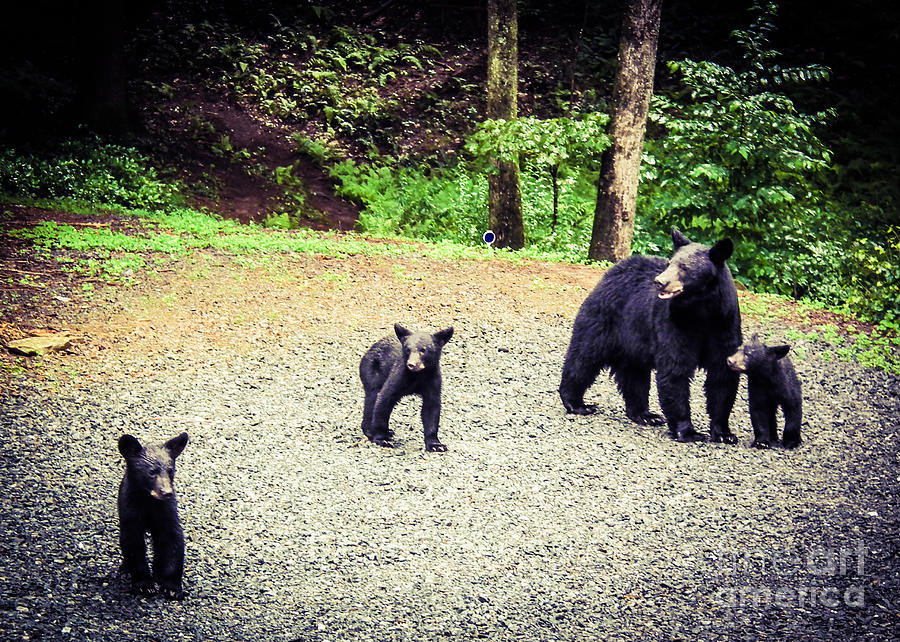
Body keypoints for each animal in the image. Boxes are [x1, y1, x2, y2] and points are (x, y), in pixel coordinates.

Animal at [117, 432, 188, 600]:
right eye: (151, 472)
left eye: (171, 471)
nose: (167, 492)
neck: (149, 502)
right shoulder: (130, 510)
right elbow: (133, 544)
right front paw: (145, 585)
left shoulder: (167, 511)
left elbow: (173, 540)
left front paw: (171, 588)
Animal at [360, 323, 454, 452]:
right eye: (408, 349)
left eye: (423, 350)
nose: (411, 364)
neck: (418, 375)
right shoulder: (399, 376)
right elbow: (384, 399)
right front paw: (382, 439)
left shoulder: (433, 381)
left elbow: (431, 408)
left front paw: (436, 444)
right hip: (372, 370)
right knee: (372, 398)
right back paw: (370, 430)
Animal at [559, 228, 742, 443]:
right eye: (670, 263)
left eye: (685, 267)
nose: (660, 282)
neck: (702, 313)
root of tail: (615, 268)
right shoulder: (674, 324)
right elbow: (675, 369)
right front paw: (688, 431)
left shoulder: (725, 326)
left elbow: (722, 375)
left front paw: (724, 433)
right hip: (604, 318)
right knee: (584, 356)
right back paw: (577, 403)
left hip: (635, 338)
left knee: (635, 374)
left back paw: (645, 415)